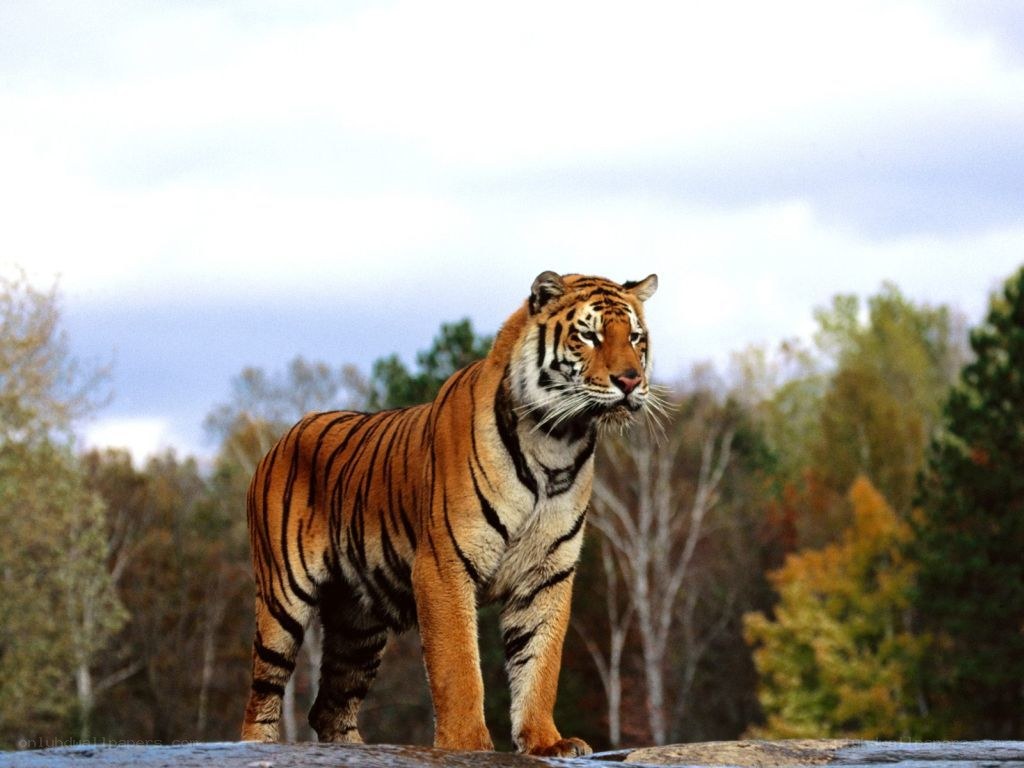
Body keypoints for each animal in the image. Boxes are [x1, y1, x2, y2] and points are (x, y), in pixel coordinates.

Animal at [240, 271, 659, 755]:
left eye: (635, 337)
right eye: (589, 336)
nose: (630, 381)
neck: (556, 443)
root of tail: (281, 437)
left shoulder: (547, 573)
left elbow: (540, 662)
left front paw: (546, 741)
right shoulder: (444, 565)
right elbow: (458, 665)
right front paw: (467, 744)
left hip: (358, 623)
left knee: (330, 704)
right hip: (283, 598)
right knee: (262, 694)